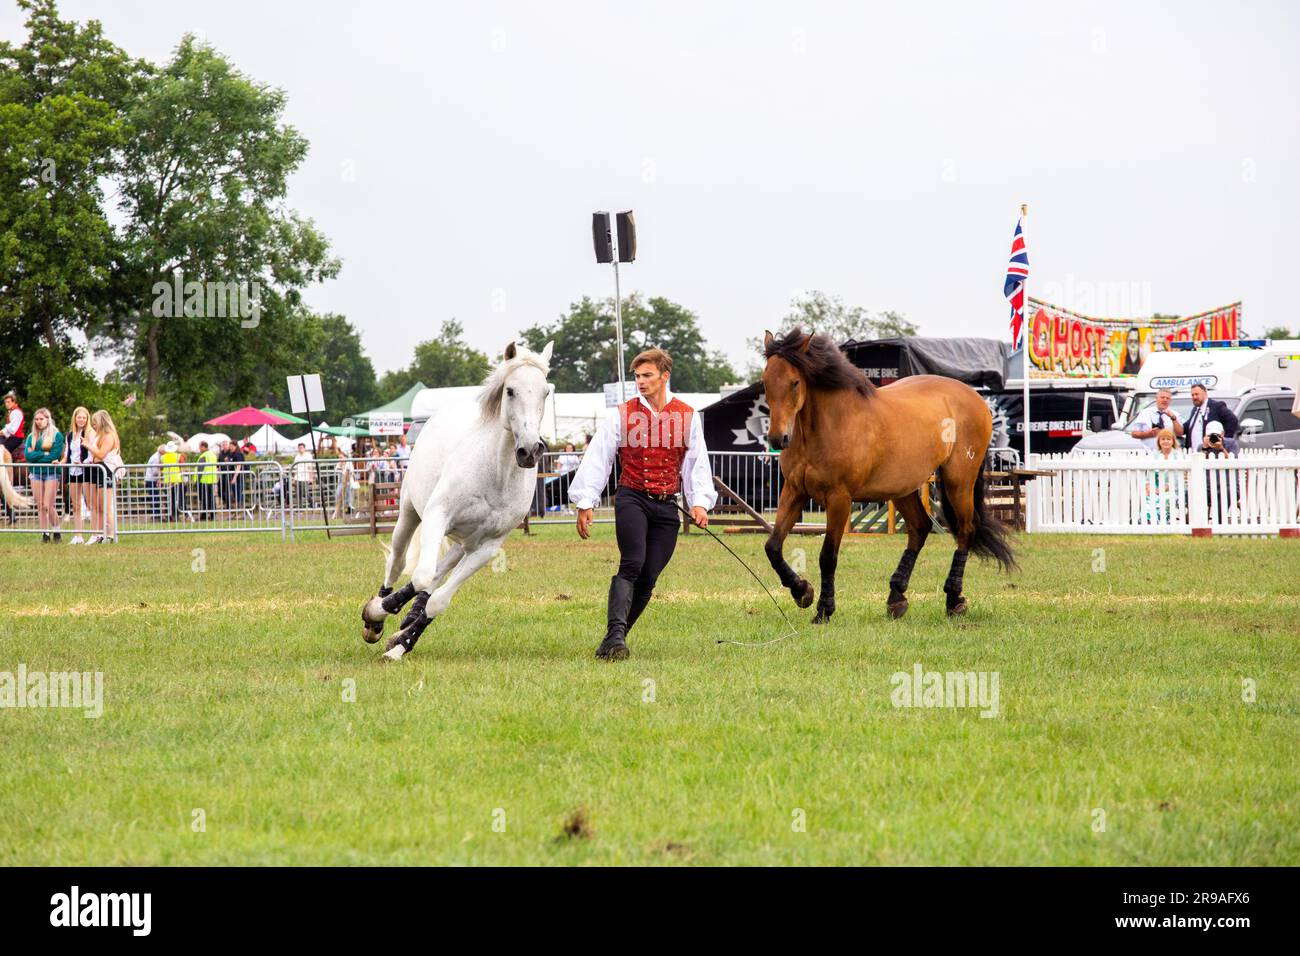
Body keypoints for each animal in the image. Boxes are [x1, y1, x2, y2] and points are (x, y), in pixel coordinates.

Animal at [359, 340, 554, 661]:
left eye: (546, 392)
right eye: (510, 390)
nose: (529, 451)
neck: (497, 473)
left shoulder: (487, 547)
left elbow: (437, 599)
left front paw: (401, 644)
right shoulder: (437, 517)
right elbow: (422, 576)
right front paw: (376, 613)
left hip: (465, 542)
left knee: (438, 573)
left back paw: (405, 621)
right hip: (410, 513)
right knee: (398, 563)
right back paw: (375, 619)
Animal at [760, 328, 1016, 623]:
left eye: (794, 383)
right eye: (765, 382)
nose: (778, 438)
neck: (826, 425)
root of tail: (975, 398)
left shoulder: (839, 499)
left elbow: (828, 556)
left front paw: (824, 610)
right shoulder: (794, 491)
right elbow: (773, 547)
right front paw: (802, 591)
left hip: (958, 482)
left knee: (965, 531)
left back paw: (953, 600)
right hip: (903, 488)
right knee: (920, 528)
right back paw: (896, 597)